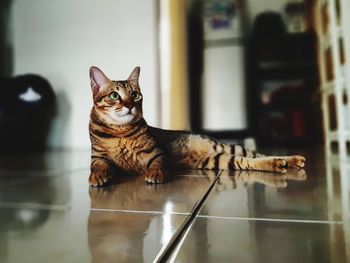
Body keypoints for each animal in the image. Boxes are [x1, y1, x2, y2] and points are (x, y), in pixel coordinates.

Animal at [89, 67, 304, 189]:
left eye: (135, 95)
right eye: (114, 95)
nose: (130, 106)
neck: (121, 132)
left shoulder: (157, 153)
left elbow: (157, 164)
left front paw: (155, 174)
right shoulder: (98, 157)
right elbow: (99, 166)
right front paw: (98, 177)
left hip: (223, 148)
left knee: (257, 154)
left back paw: (290, 160)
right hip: (217, 160)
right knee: (248, 161)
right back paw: (281, 164)